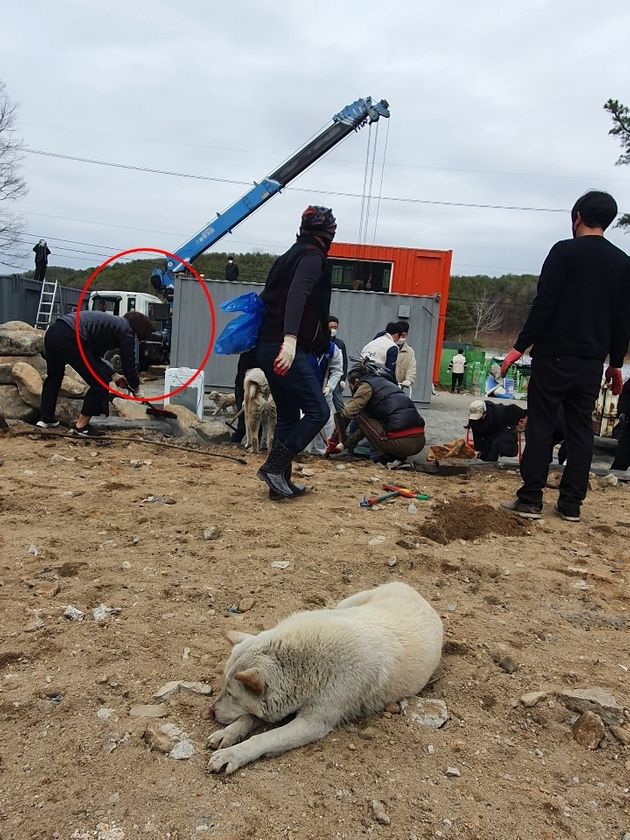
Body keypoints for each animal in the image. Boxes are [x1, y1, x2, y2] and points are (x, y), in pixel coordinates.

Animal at [209, 584, 444, 776]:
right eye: (223, 688)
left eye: (231, 694)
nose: (210, 711)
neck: (304, 664)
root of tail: (413, 589)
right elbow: (248, 717)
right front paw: (227, 734)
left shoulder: (313, 723)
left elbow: (264, 737)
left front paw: (232, 755)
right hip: (350, 602)